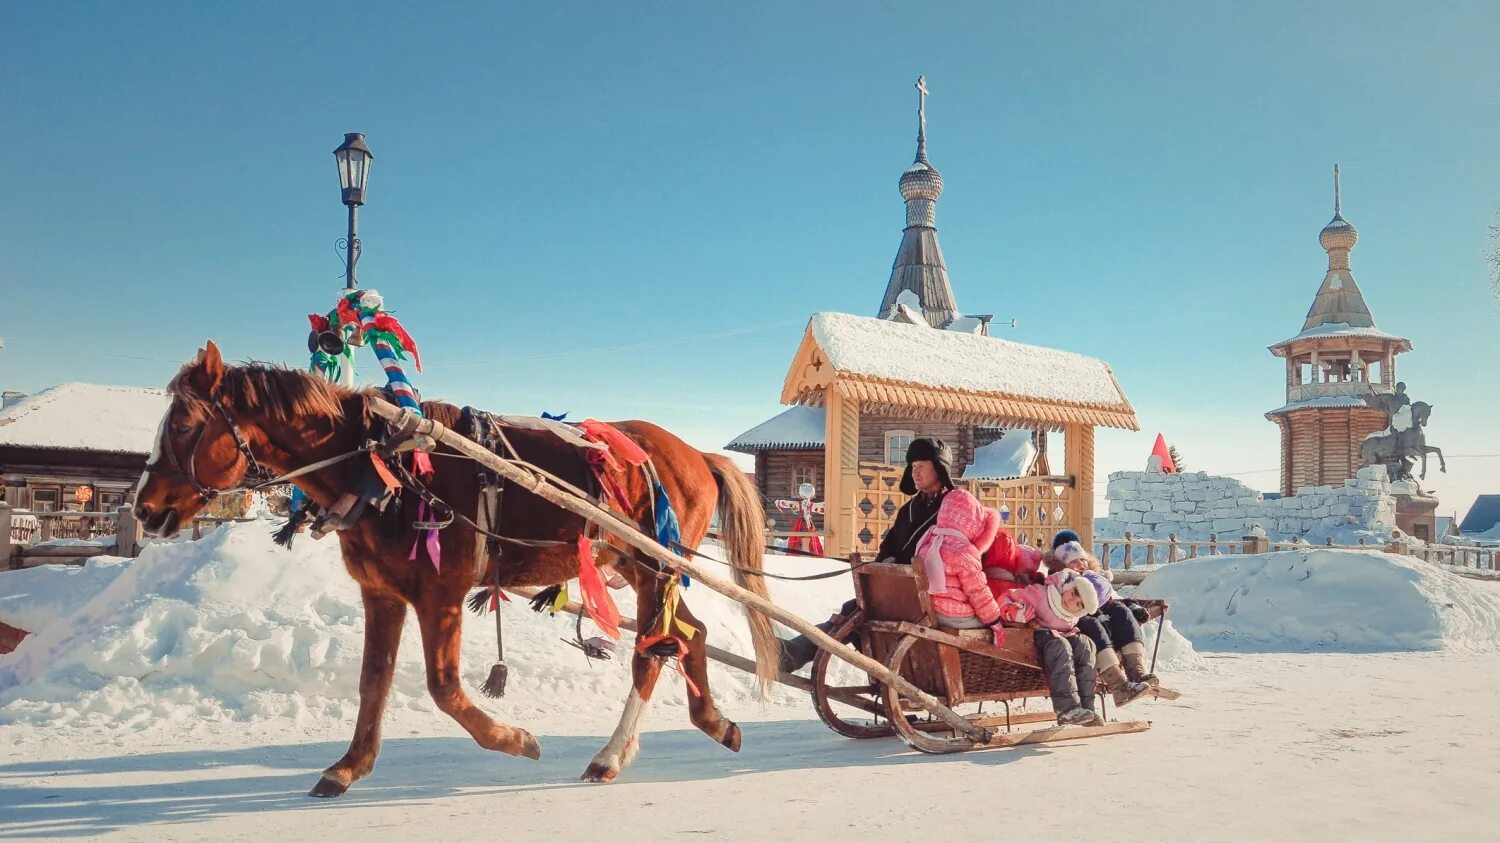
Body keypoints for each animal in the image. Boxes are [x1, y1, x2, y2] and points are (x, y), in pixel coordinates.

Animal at [133, 342, 780, 792]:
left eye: (185, 425)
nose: (144, 508)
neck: (384, 465)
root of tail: (694, 453)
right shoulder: (381, 593)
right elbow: (373, 680)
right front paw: (350, 765)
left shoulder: (440, 594)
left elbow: (444, 688)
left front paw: (514, 739)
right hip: (649, 569)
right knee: (689, 634)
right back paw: (714, 722)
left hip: (653, 566)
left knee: (652, 652)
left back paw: (611, 755)